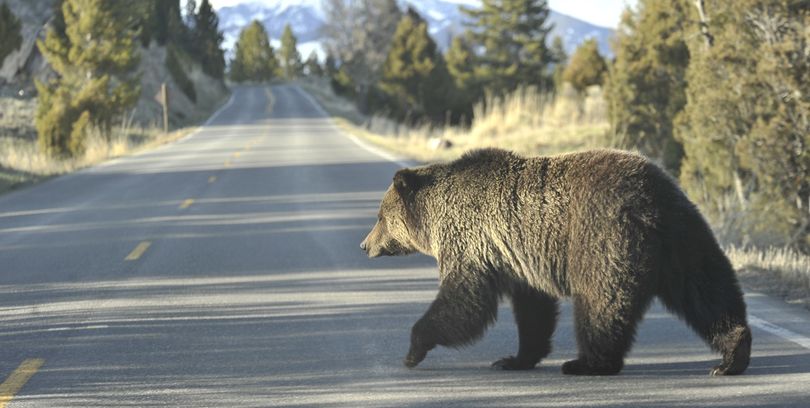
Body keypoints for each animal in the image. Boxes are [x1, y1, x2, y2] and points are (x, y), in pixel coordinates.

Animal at [360, 147, 752, 376]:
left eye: (380, 216)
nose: (365, 245)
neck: (435, 216)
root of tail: (650, 203)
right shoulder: (517, 259)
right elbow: (533, 311)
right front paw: (515, 358)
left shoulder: (472, 240)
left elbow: (464, 299)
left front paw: (413, 349)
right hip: (684, 237)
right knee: (708, 293)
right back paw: (732, 355)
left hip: (603, 237)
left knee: (602, 303)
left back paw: (587, 363)